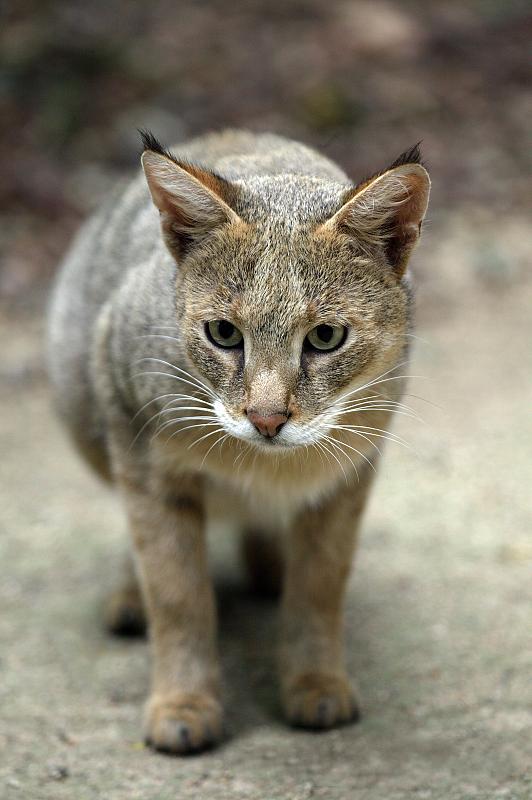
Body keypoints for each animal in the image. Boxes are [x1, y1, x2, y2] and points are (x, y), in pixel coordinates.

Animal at [45, 128, 428, 752]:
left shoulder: (350, 474)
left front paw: (315, 679)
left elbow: (319, 586)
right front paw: (184, 701)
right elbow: (177, 592)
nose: (267, 419)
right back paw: (132, 594)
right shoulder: (139, 449)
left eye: (326, 336)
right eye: (223, 333)